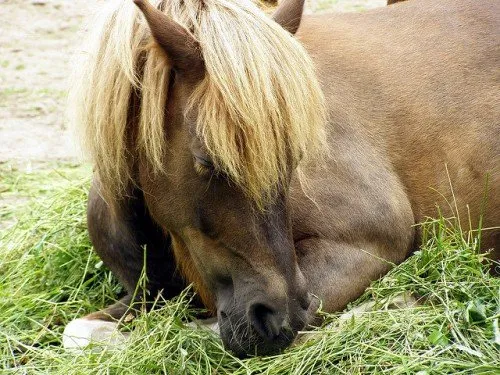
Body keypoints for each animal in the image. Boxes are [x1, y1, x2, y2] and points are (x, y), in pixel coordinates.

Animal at [64, 0, 498, 358]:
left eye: (295, 158)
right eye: (207, 160)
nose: (278, 317)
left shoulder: (369, 243)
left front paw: (394, 303)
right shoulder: (145, 295)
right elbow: (81, 333)